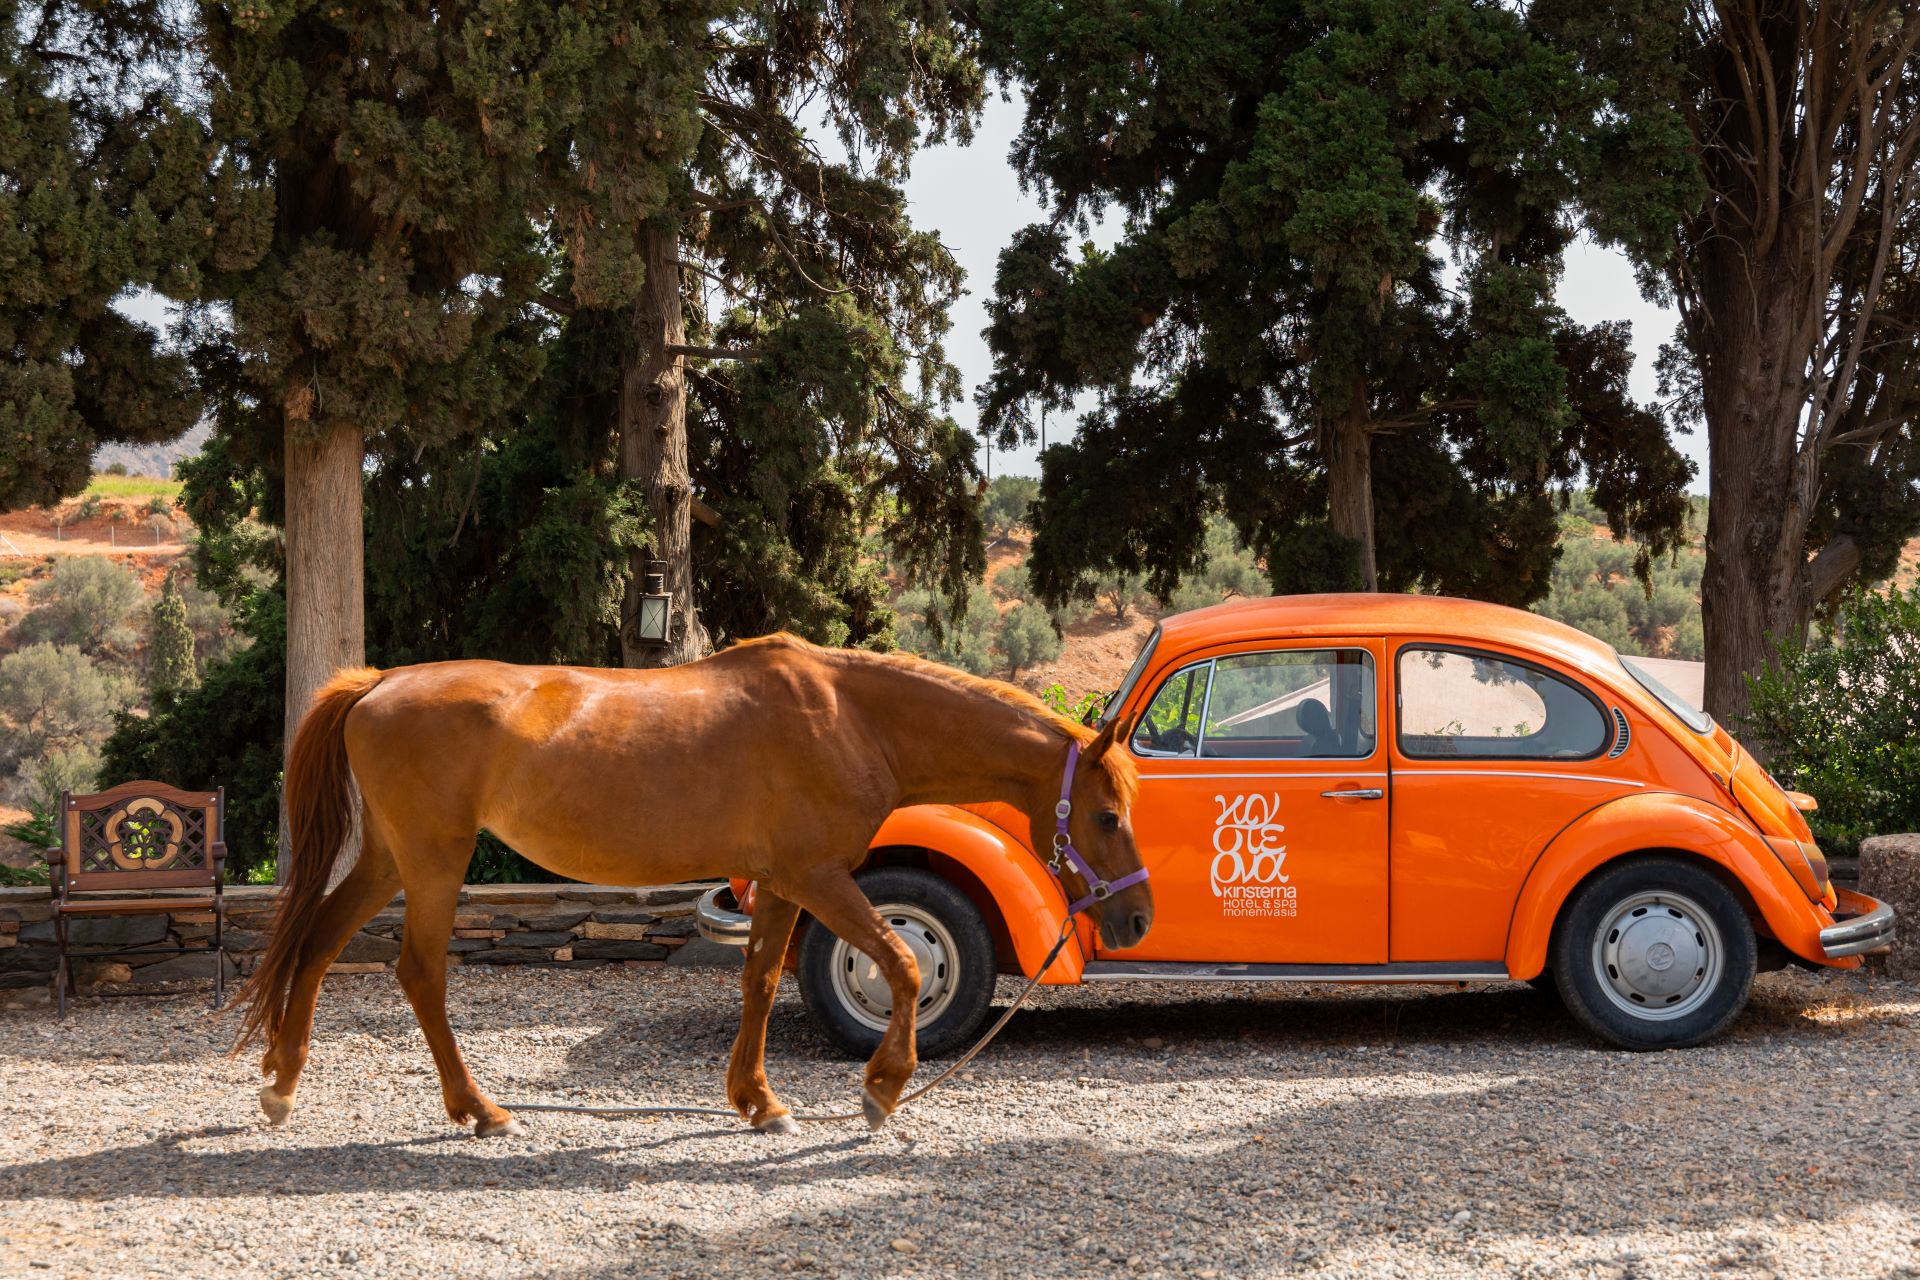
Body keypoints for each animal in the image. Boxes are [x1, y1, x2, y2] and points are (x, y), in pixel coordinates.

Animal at [232, 637, 1144, 1136]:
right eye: (1106, 814)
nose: (1136, 917)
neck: (851, 716)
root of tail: (378, 683)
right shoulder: (821, 876)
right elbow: (905, 964)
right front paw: (882, 1090)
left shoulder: (780, 882)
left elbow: (761, 981)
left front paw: (759, 1101)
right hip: (432, 860)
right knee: (419, 973)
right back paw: (479, 1110)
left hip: (390, 859)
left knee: (317, 945)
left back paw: (281, 1087)